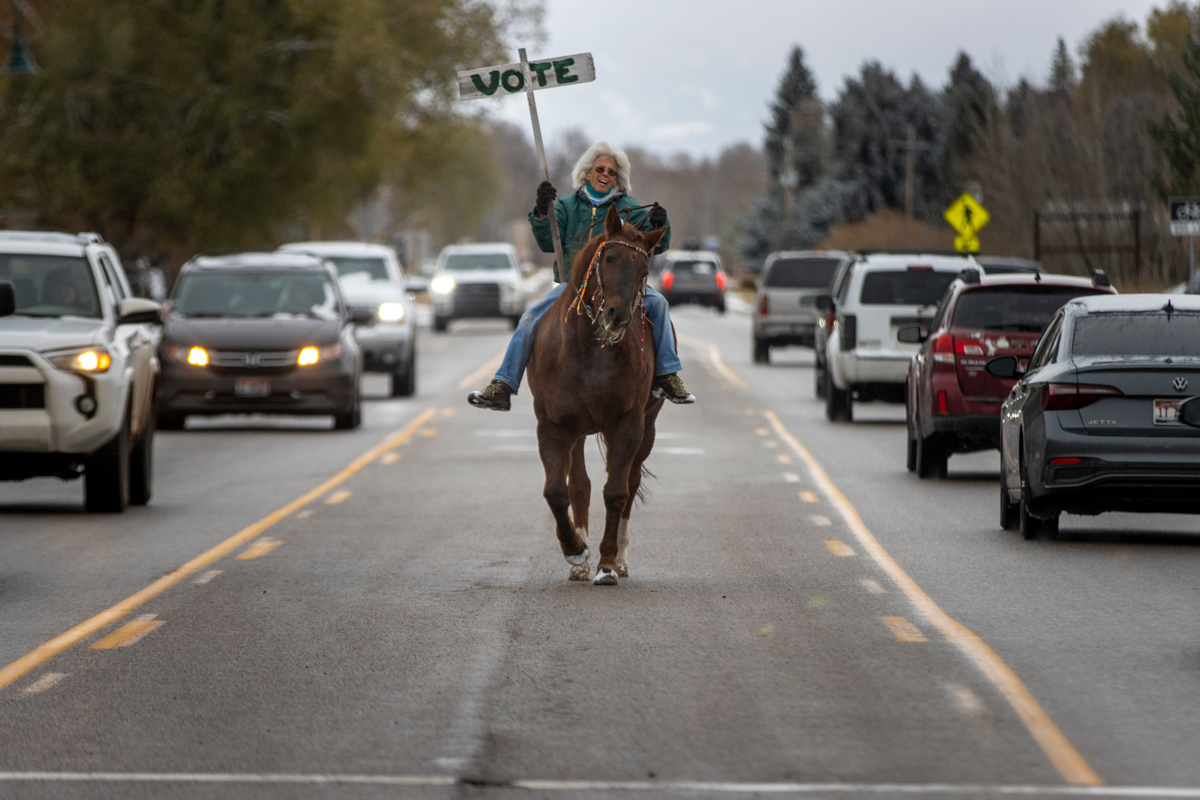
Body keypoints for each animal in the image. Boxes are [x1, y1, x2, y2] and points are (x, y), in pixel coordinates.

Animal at [528, 203, 667, 585]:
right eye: (609, 257)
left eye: (645, 268)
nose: (617, 315)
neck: (589, 352)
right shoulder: (552, 425)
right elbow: (557, 491)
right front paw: (576, 550)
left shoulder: (629, 424)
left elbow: (617, 492)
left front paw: (606, 563)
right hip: (577, 432)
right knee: (580, 485)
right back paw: (581, 561)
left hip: (647, 426)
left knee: (630, 482)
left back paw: (618, 558)